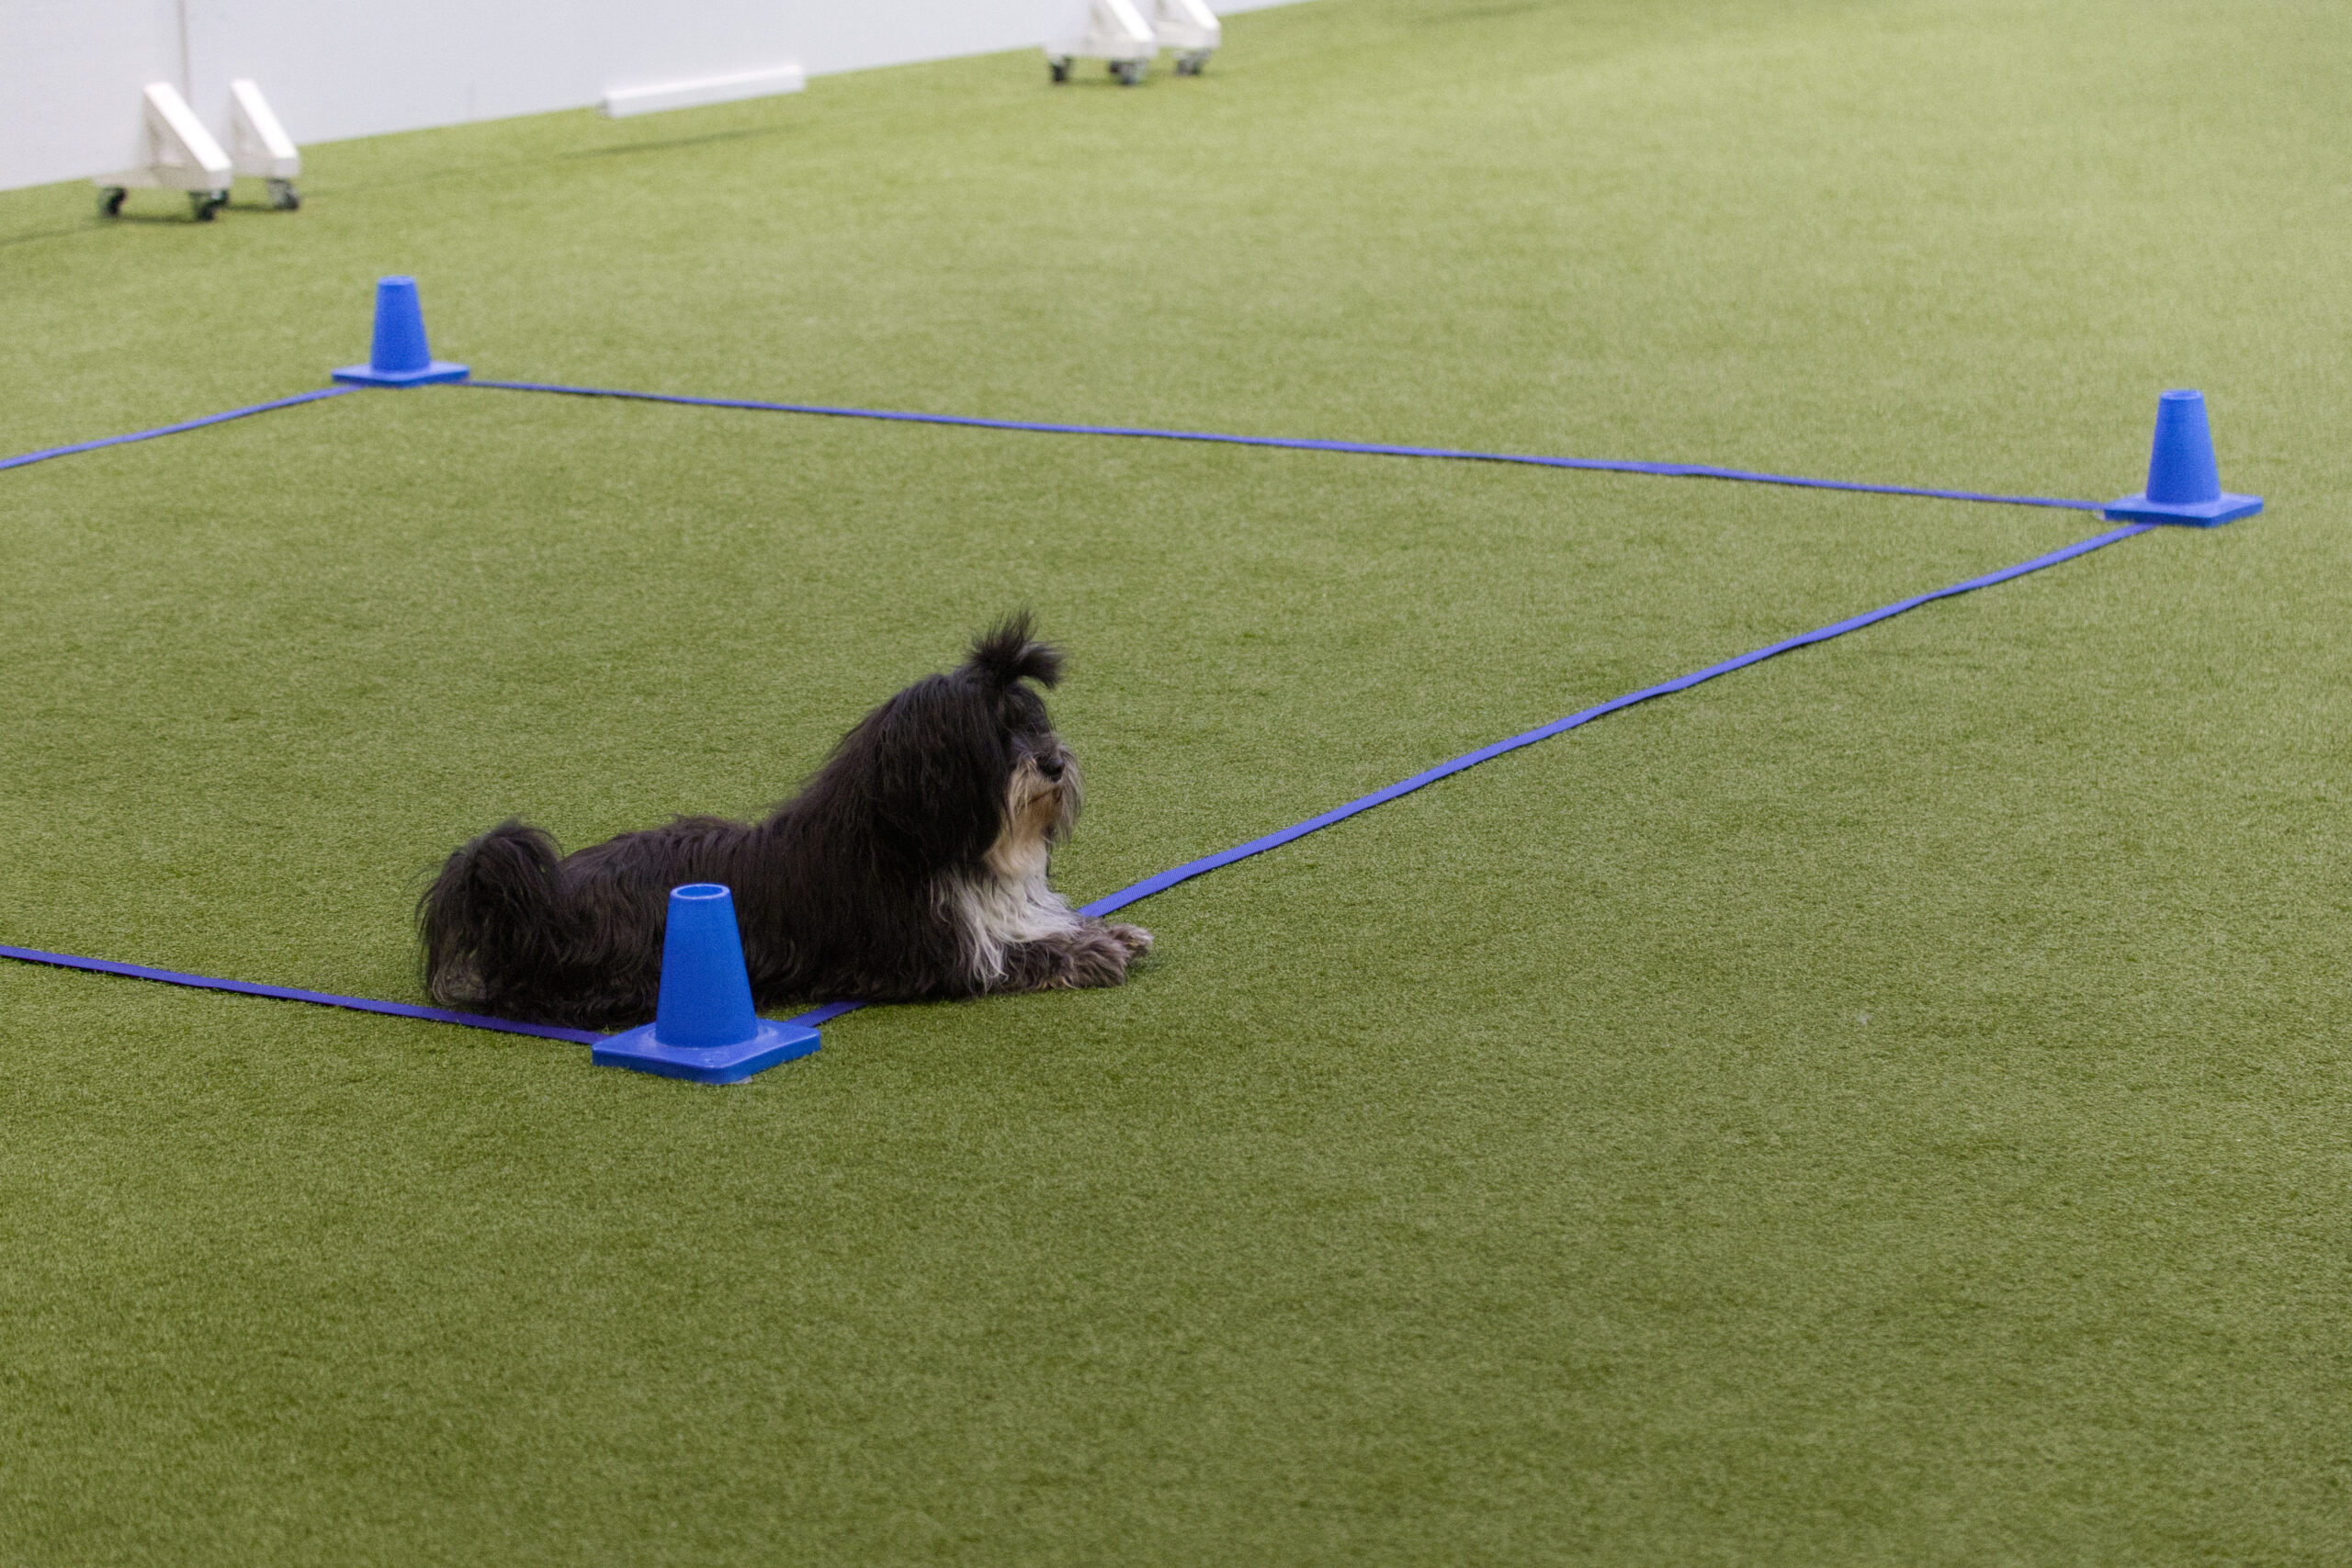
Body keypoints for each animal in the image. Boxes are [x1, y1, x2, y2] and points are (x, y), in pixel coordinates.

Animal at [417, 614, 1150, 1029]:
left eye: (1033, 721)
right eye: (996, 738)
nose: (1053, 762)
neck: (920, 839)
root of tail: (536, 900)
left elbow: (1039, 924)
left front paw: (1110, 930)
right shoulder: (932, 951)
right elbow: (1011, 954)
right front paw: (1094, 952)